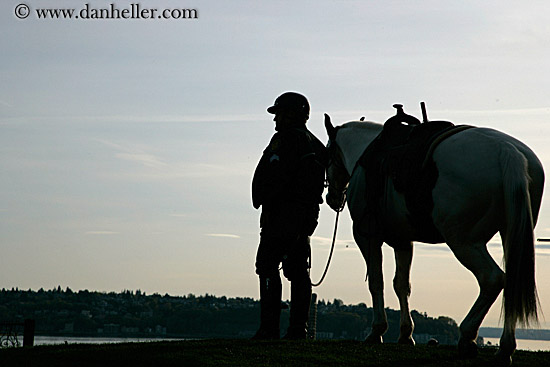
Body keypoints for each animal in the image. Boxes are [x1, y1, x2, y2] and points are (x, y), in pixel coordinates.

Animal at [326, 113, 544, 366]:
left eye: (327, 153)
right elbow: (401, 284)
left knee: (492, 279)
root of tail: (507, 151)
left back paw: (467, 337)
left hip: (463, 240)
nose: (332, 197)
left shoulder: (367, 237)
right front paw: (405, 334)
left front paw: (377, 331)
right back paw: (505, 348)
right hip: (510, 235)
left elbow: (376, 282)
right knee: (511, 281)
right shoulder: (403, 241)